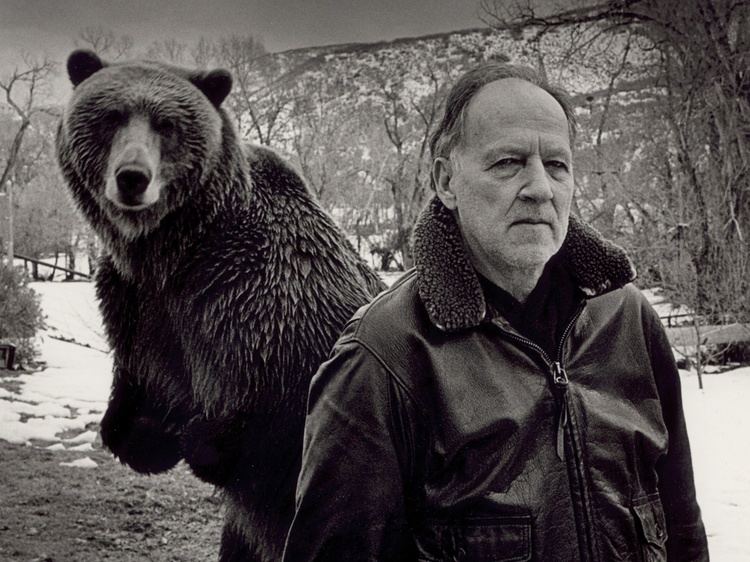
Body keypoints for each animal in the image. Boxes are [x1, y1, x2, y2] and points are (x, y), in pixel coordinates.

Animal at [57, 50, 388, 556]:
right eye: (110, 116)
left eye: (167, 123)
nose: (132, 177)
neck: (173, 250)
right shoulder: (137, 303)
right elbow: (140, 387)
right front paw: (145, 432)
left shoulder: (257, 296)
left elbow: (289, 417)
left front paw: (201, 438)